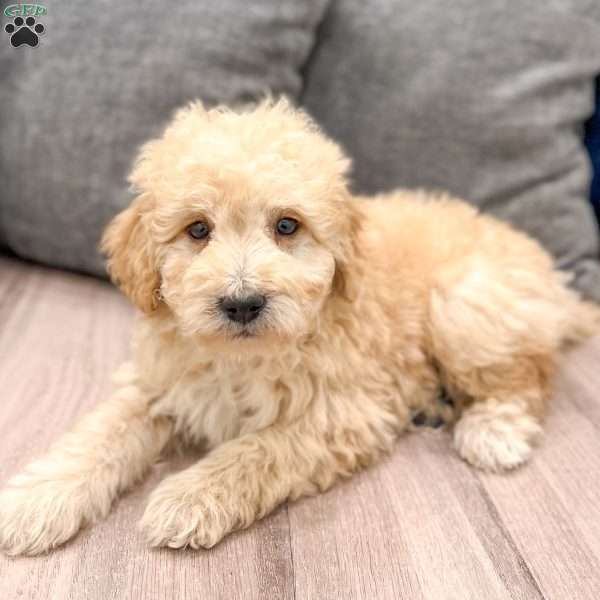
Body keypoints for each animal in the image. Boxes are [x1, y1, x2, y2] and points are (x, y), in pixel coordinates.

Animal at [0, 97, 596, 552]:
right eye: (198, 229)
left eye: (287, 226)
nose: (242, 303)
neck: (241, 357)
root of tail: (554, 279)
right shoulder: (157, 382)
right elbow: (100, 434)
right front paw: (34, 500)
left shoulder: (347, 412)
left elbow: (257, 450)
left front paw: (188, 497)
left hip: (467, 305)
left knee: (529, 374)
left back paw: (495, 429)